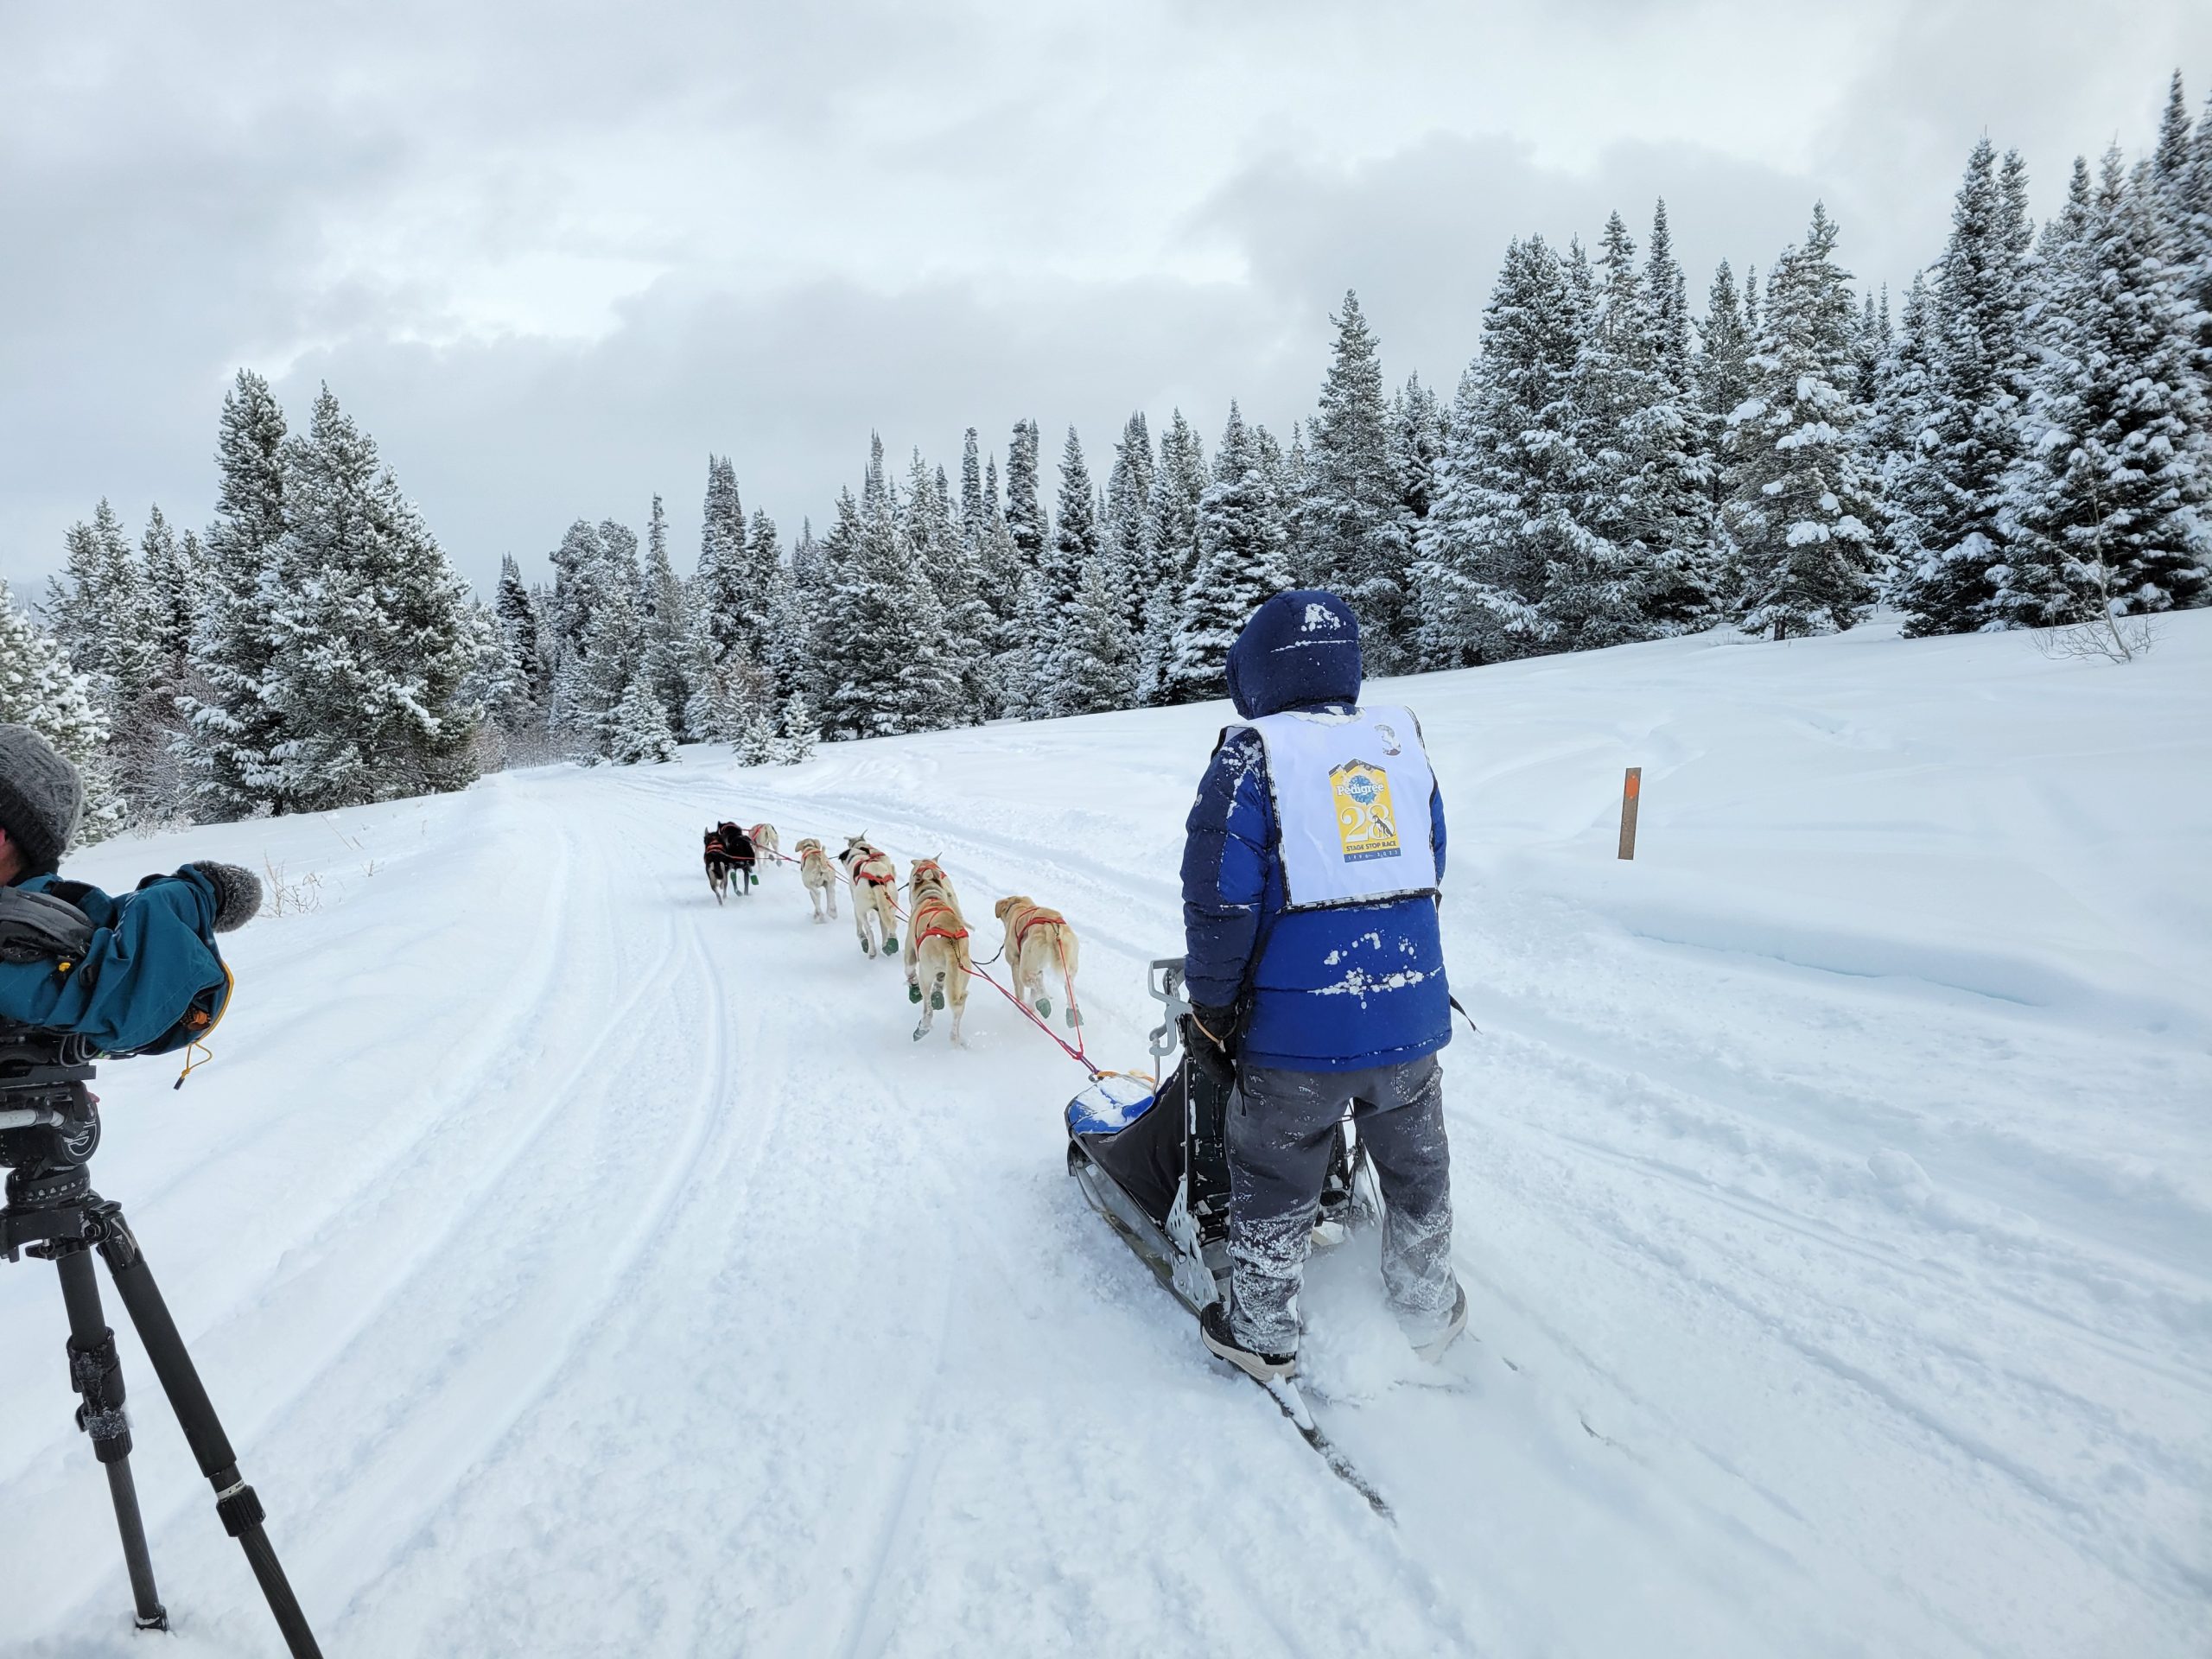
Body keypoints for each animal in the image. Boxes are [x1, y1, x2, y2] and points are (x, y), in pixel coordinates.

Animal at [841, 835, 899, 959]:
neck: (858, 855)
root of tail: (876, 881)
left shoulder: (856, 904)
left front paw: (860, 935)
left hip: (862, 909)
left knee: (870, 931)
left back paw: (872, 951)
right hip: (889, 907)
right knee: (888, 929)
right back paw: (888, 946)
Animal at [904, 857, 972, 1045]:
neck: (931, 896)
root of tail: (951, 943)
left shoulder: (910, 951)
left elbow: (909, 970)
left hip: (926, 974)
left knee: (927, 1005)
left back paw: (924, 1026)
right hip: (961, 978)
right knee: (958, 1008)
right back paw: (954, 1037)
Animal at [994, 895, 1081, 1028]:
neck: (1019, 906)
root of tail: (1052, 927)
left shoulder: (1015, 964)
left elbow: (1020, 993)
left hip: (1025, 970)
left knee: (1037, 985)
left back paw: (1043, 1001)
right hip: (1069, 966)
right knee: (1067, 987)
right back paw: (1072, 1012)